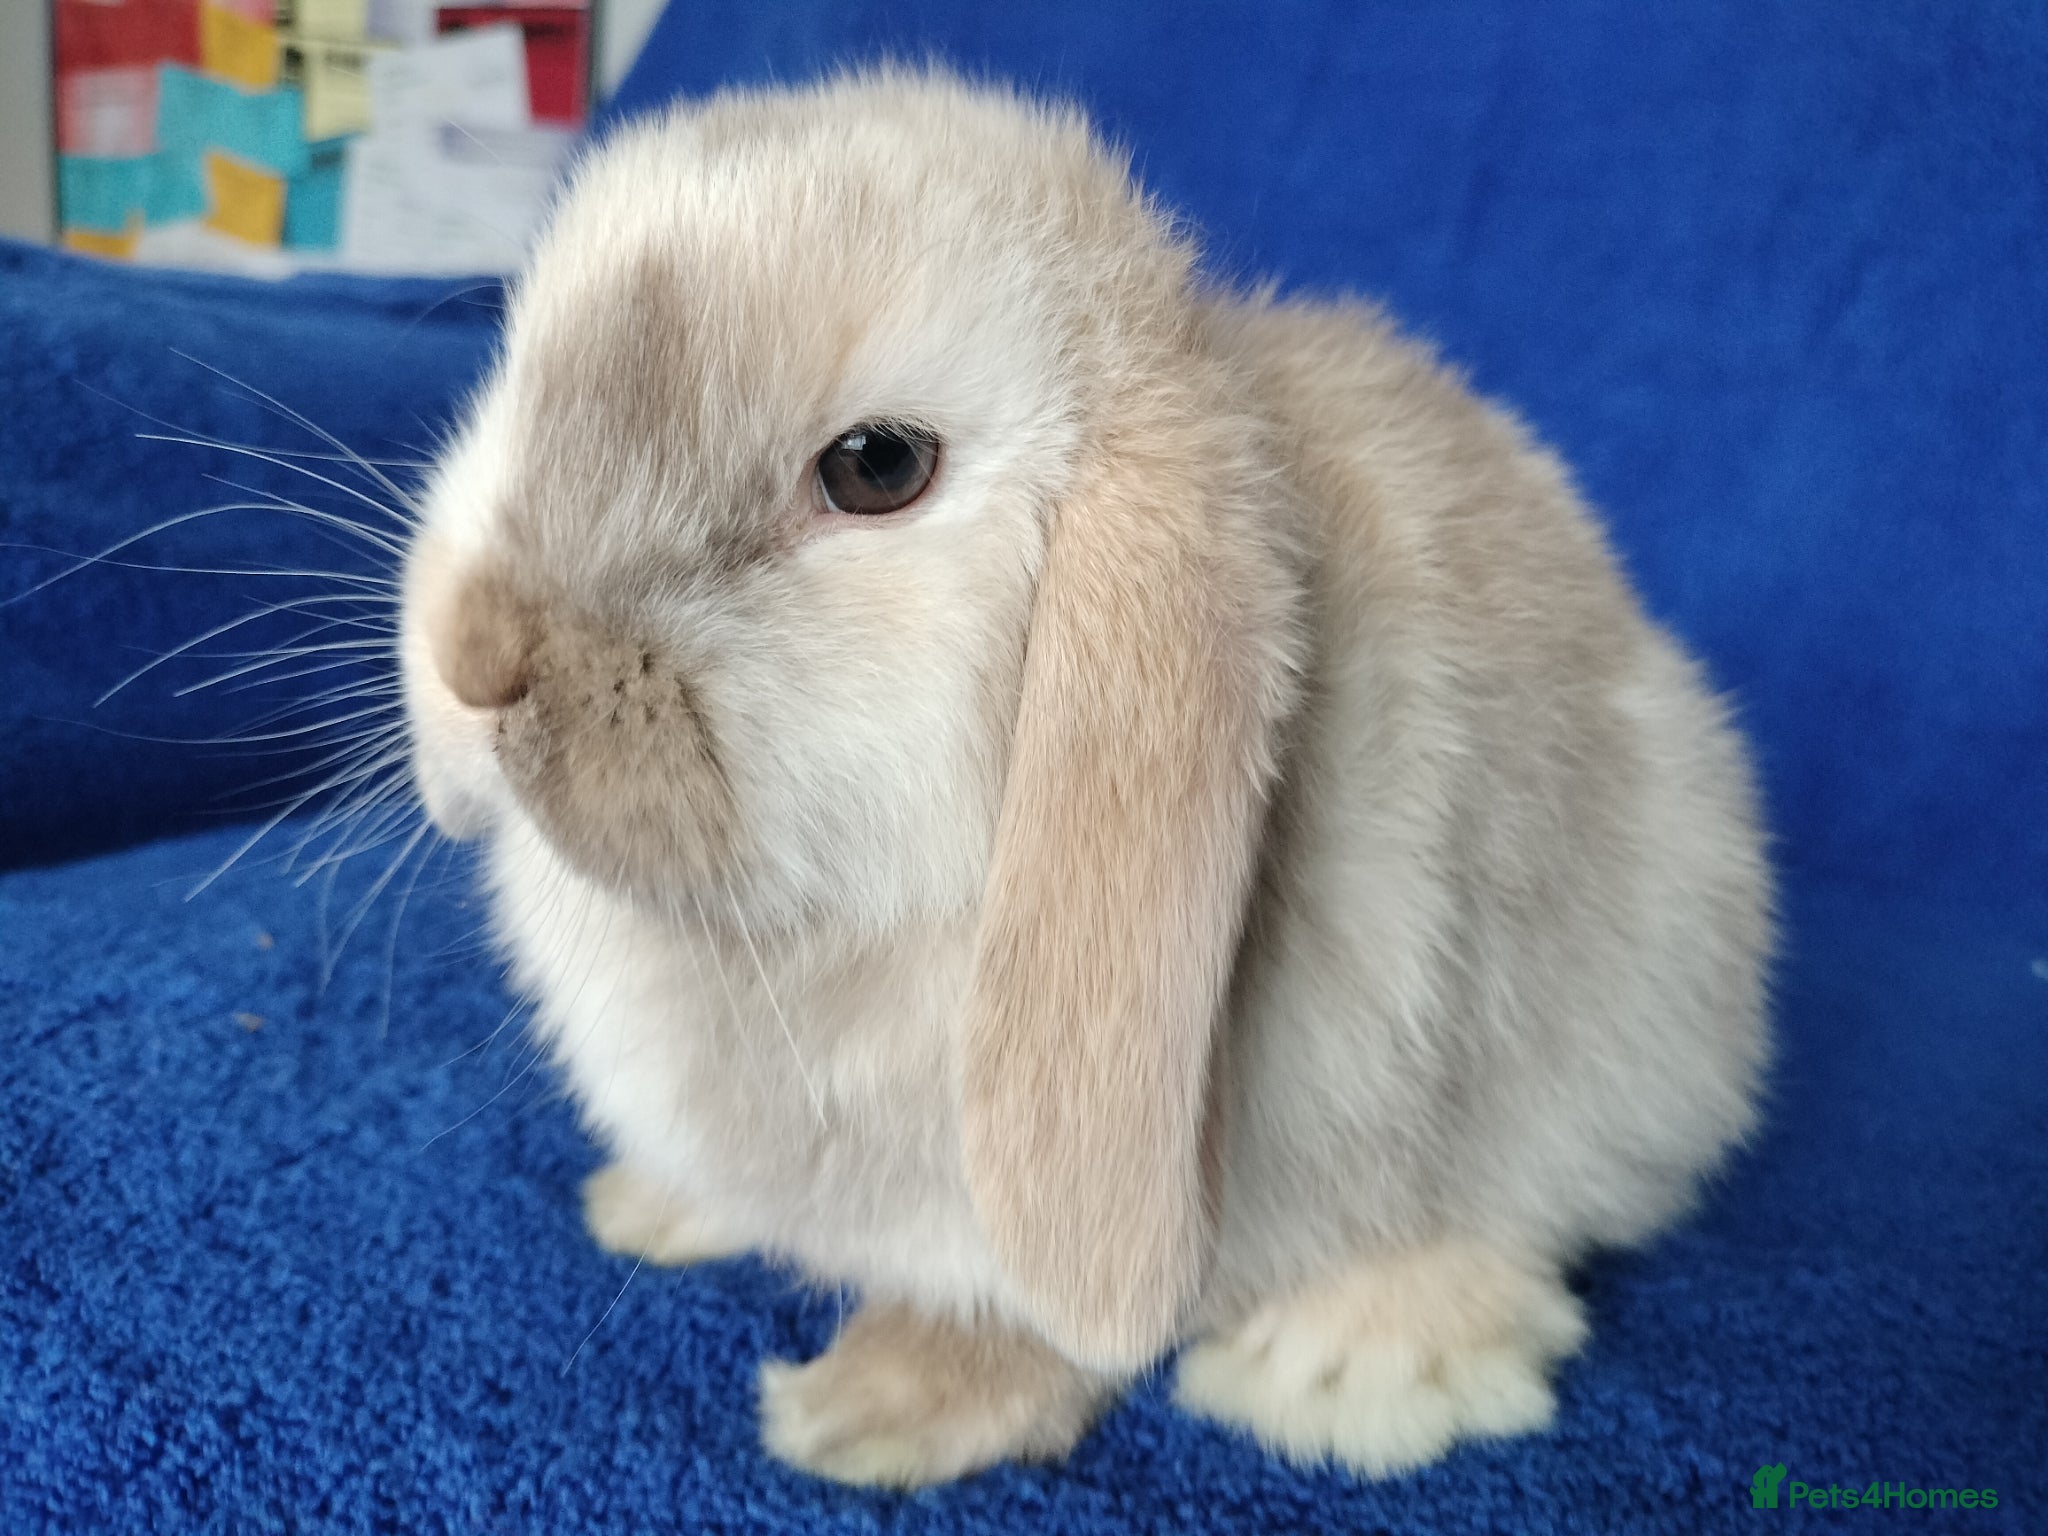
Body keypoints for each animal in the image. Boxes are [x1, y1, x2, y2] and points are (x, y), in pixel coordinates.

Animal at [397, 67, 1772, 1488]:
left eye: (876, 467)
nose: (477, 655)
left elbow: (1034, 1317)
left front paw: (873, 1413)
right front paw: (656, 1210)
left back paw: (1340, 1370)